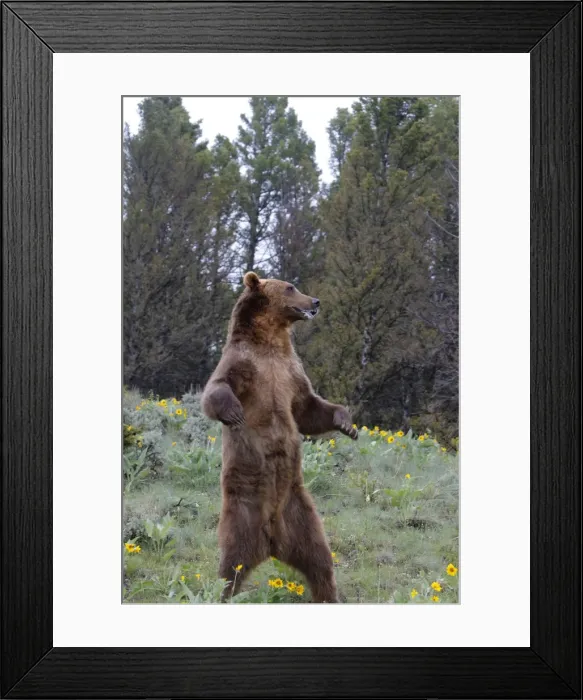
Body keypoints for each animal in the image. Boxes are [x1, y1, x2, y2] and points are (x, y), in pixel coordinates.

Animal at [201, 272, 358, 603]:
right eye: (290, 287)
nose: (315, 301)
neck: (271, 342)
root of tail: (271, 542)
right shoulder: (244, 364)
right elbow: (217, 388)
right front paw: (234, 413)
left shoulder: (290, 372)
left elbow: (307, 408)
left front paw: (346, 423)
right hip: (242, 512)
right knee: (231, 567)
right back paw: (221, 591)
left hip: (302, 513)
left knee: (320, 560)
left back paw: (329, 595)